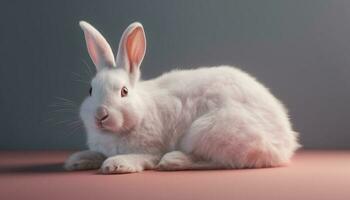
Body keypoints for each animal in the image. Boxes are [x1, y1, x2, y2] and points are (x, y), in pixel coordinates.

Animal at [64, 20, 300, 173]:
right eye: (90, 90)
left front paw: (117, 164)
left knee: (224, 162)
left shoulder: (151, 148)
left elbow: (143, 157)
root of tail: (286, 143)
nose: (100, 114)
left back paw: (174, 160)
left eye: (124, 91)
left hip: (206, 130)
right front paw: (75, 161)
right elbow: (95, 154)